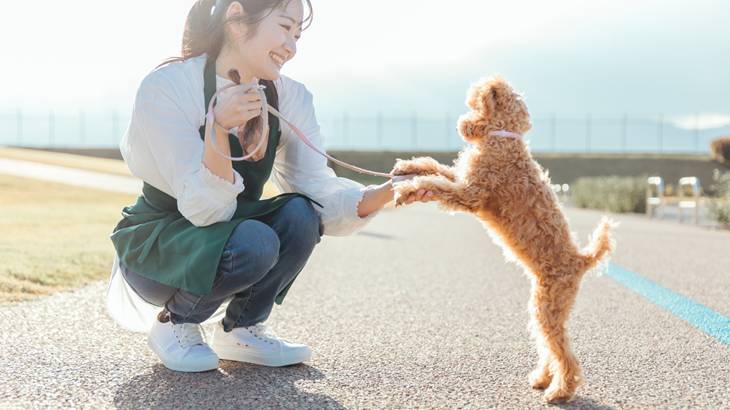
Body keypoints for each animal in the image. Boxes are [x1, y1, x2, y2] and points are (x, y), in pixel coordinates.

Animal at [392, 75, 616, 402]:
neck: (502, 137)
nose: (461, 124)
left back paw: (559, 392)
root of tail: (581, 260)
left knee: (564, 353)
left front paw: (409, 190)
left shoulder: (470, 193)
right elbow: (435, 167)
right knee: (549, 346)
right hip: (546, 307)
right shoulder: (463, 178)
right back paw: (541, 379)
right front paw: (408, 167)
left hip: (547, 305)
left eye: (475, 103)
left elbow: (436, 184)